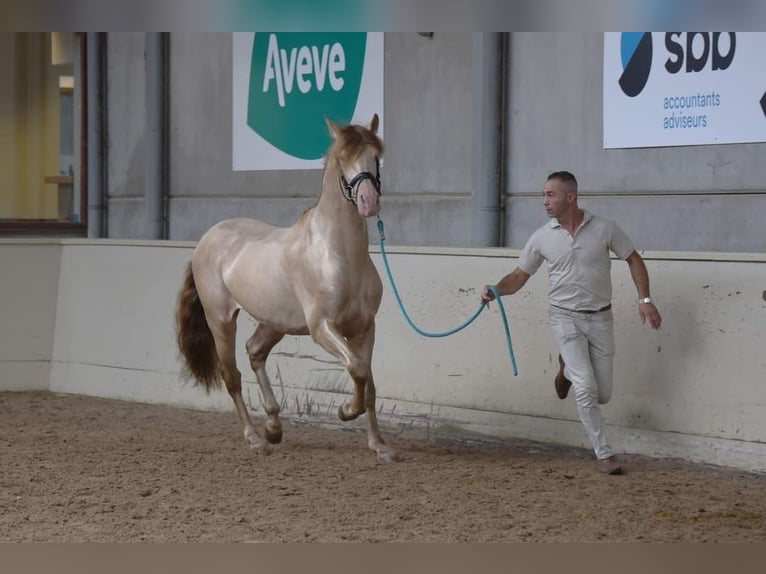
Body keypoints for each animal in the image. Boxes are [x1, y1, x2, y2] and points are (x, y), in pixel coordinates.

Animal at [176, 112, 400, 464]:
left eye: (376, 156)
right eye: (342, 159)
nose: (368, 201)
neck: (339, 256)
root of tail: (207, 240)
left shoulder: (365, 328)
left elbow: (368, 381)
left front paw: (379, 445)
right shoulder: (323, 328)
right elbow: (357, 369)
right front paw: (345, 411)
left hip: (274, 322)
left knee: (255, 351)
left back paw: (273, 427)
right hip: (221, 320)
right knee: (232, 376)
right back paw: (255, 439)